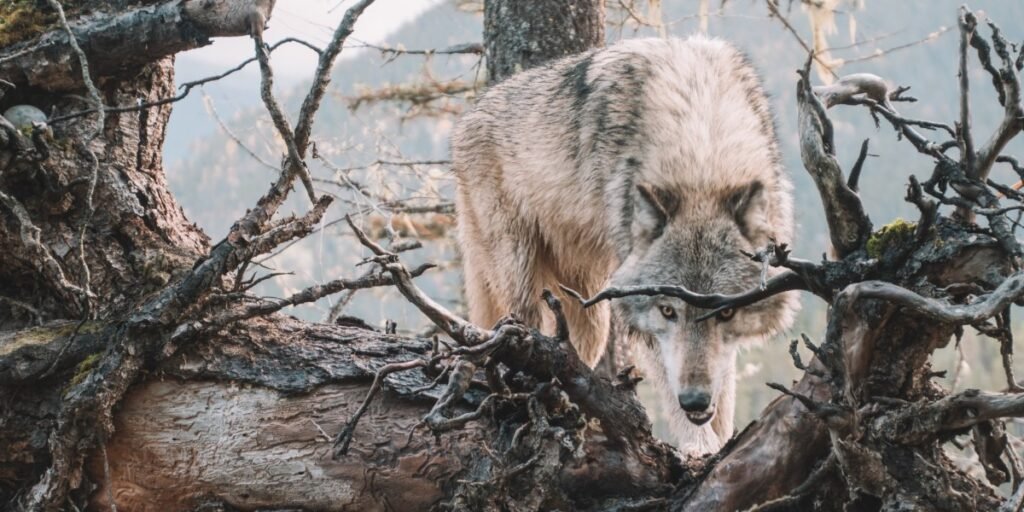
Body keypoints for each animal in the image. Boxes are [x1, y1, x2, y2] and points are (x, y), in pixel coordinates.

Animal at [451, 36, 799, 455]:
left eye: (726, 312)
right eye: (667, 310)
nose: (695, 401)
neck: (702, 150)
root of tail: (469, 116)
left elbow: (725, 384)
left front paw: (722, 439)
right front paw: (699, 449)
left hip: (589, 313)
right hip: (523, 283)